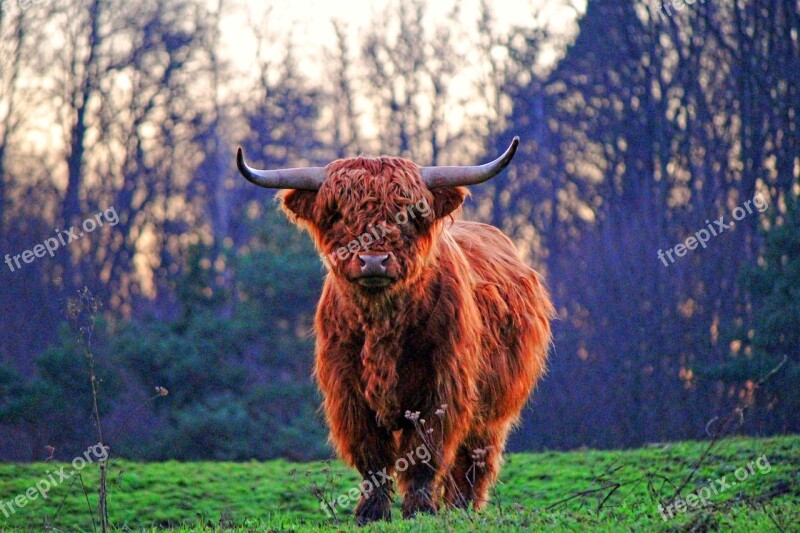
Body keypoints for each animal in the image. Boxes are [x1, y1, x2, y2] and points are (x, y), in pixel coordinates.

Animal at [238, 137, 552, 524]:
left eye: (410, 214)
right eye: (337, 214)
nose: (373, 260)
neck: (382, 327)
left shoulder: (443, 386)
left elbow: (425, 453)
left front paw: (420, 510)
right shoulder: (348, 390)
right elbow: (372, 456)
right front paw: (371, 512)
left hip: (495, 405)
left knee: (475, 458)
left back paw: (463, 508)